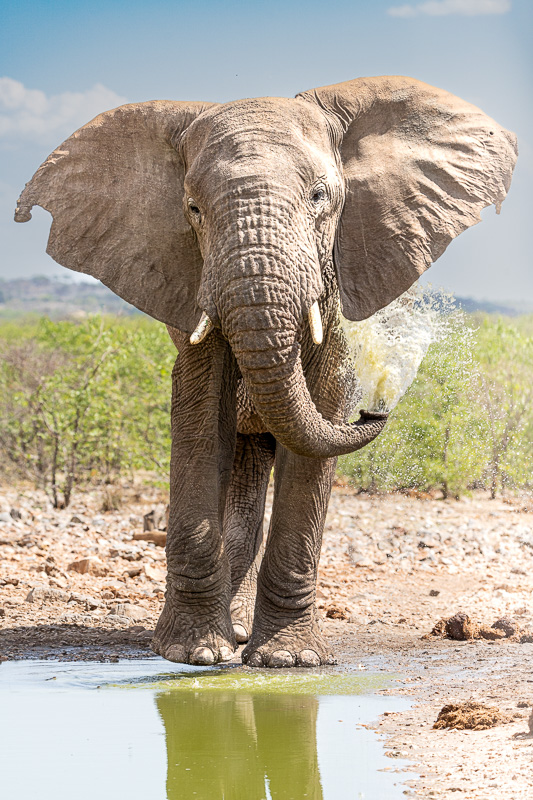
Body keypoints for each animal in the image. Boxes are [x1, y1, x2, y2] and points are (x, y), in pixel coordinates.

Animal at [15, 76, 517, 668]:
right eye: (192, 208)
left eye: (321, 198)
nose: (375, 407)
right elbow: (200, 412)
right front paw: (193, 653)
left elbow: (321, 409)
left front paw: (288, 661)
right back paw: (227, 635)